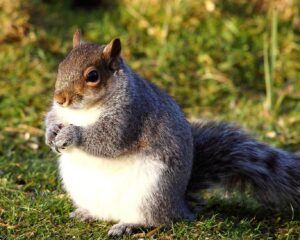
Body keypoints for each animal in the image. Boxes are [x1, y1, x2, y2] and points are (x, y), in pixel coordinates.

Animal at [45, 30, 300, 236]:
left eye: (93, 76)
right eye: (60, 66)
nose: (59, 98)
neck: (84, 111)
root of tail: (180, 205)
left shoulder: (130, 116)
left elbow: (109, 140)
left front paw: (71, 135)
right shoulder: (61, 113)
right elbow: (53, 118)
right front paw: (50, 133)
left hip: (150, 193)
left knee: (159, 220)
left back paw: (127, 225)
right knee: (104, 213)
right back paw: (86, 213)